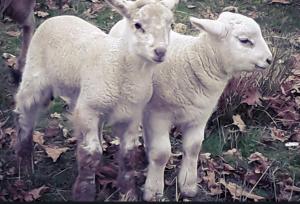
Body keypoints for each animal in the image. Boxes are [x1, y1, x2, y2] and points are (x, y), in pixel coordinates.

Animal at [14, 0, 177, 201]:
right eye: (138, 25)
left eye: (171, 25)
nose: (160, 51)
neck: (121, 68)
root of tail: (59, 17)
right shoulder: (89, 110)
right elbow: (91, 154)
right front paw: (84, 193)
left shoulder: (132, 114)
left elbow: (128, 155)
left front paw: (128, 192)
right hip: (35, 77)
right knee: (25, 113)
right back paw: (24, 162)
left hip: (80, 94)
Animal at [109, 11, 274, 201]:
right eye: (244, 40)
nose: (270, 59)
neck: (193, 62)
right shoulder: (159, 115)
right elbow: (161, 153)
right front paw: (154, 190)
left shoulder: (199, 117)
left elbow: (193, 148)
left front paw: (188, 185)